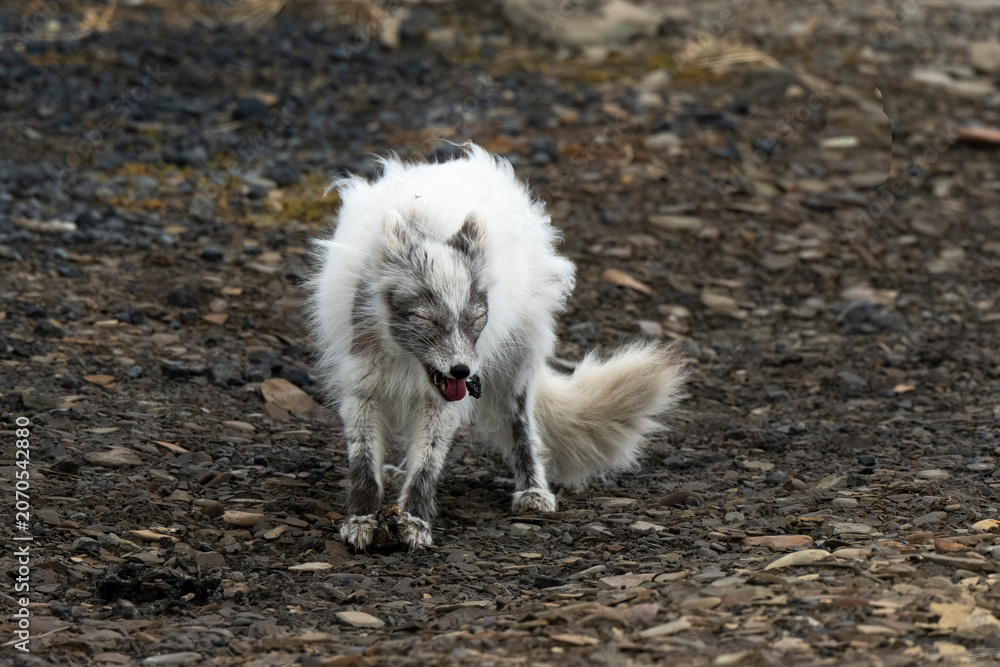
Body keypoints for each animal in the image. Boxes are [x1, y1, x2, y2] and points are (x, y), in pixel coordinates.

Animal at [307, 143, 688, 551]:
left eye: (476, 318)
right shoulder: (362, 388)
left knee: (521, 424)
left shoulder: (445, 399)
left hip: (516, 367)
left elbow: (428, 461)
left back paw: (533, 490)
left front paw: (414, 521)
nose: (462, 371)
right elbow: (364, 462)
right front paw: (362, 518)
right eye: (426, 320)